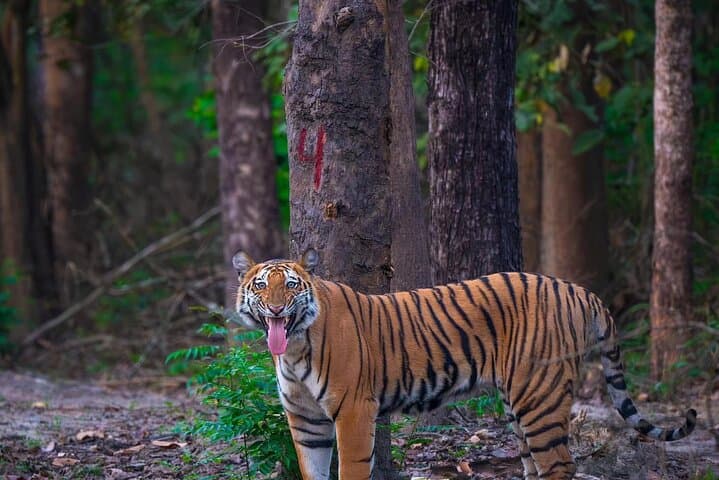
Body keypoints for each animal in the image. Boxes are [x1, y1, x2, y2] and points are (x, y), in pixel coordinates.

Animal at [231, 248, 696, 480]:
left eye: (292, 286)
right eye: (262, 285)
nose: (277, 309)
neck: (294, 347)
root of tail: (579, 290)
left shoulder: (353, 411)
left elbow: (352, 468)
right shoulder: (306, 419)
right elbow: (313, 471)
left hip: (540, 397)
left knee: (561, 465)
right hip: (519, 402)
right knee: (535, 465)